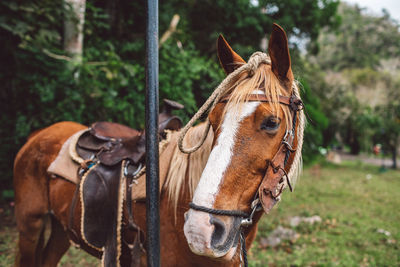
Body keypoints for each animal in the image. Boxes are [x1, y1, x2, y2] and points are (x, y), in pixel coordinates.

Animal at [14, 24, 304, 266]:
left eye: (271, 122)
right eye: (213, 120)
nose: (200, 229)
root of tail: (39, 134)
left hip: (61, 231)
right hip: (30, 226)